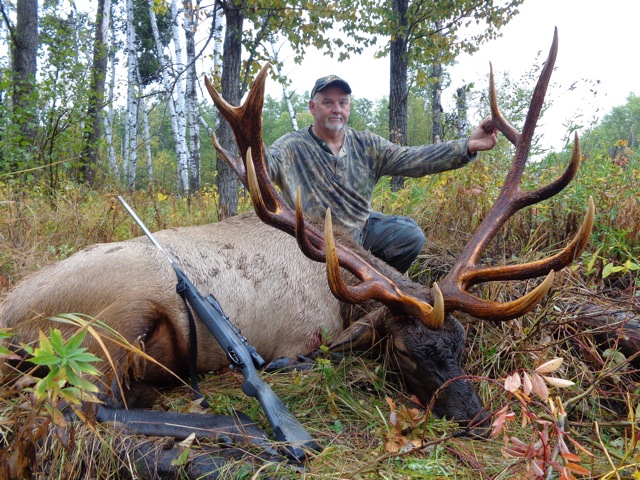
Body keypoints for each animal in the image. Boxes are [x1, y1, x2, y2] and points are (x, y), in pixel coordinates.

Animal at [0, 29, 592, 459]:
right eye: (404, 351)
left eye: (462, 342)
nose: (476, 417)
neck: (338, 291)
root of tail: (10, 316)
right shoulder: (300, 339)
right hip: (107, 326)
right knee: (87, 406)